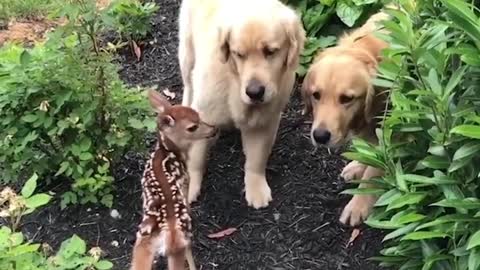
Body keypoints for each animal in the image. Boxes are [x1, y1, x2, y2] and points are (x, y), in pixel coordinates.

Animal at [129, 90, 216, 270]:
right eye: (192, 127)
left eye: (198, 115)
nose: (213, 129)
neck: (168, 151)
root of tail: (165, 231)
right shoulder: (185, 183)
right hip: (179, 241)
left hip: (142, 243)